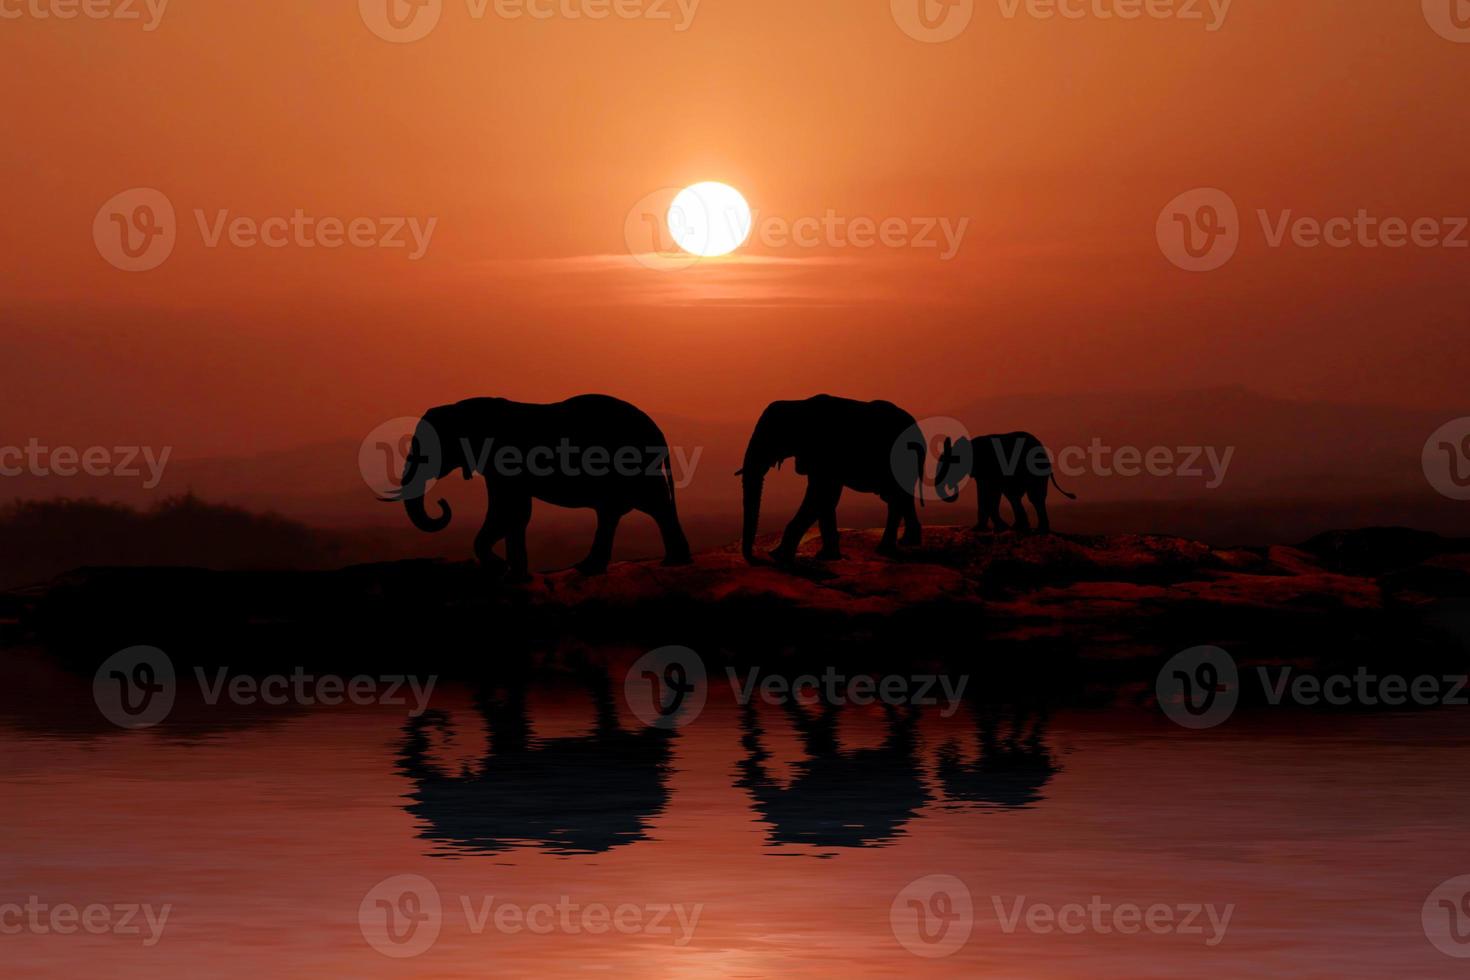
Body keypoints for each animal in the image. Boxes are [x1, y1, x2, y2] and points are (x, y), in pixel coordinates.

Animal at [385, 396, 693, 581]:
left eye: (428, 451)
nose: (442, 504)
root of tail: (660, 434)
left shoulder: (505, 459)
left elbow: (509, 511)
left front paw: (503, 569)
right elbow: (513, 512)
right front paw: (513, 574)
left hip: (632, 465)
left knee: (653, 505)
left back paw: (672, 562)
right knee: (615, 512)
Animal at [740, 393, 923, 564]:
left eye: (770, 437)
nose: (756, 558)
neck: (798, 404)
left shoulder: (826, 452)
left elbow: (820, 495)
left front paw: (778, 555)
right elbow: (826, 498)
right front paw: (827, 556)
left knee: (896, 497)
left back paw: (887, 548)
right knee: (899, 497)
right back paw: (907, 541)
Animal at [934, 431, 1076, 531]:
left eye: (950, 466)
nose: (953, 487)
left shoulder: (991, 467)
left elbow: (990, 493)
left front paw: (987, 528)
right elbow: (988, 493)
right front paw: (986, 528)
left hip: (1036, 470)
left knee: (1034, 497)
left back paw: (1038, 529)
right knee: (1014, 496)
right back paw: (1019, 527)